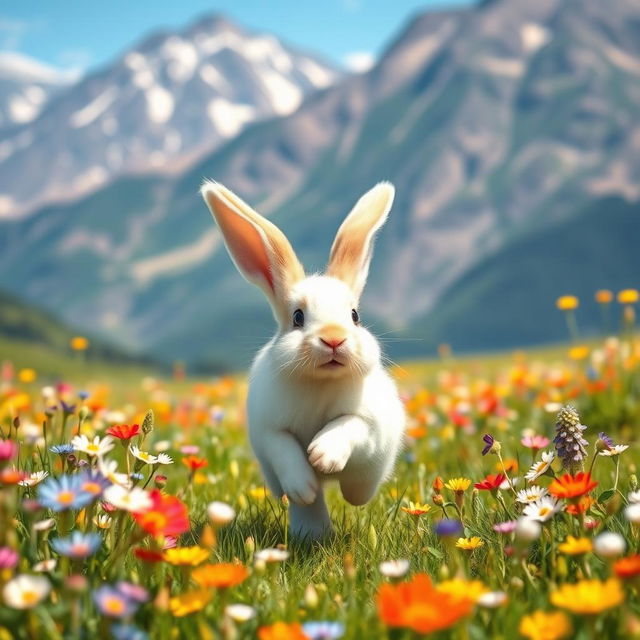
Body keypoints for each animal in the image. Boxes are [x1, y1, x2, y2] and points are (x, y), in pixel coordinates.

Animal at [201, 180, 404, 540]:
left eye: (355, 315)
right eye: (297, 317)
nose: (334, 338)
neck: (321, 382)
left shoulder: (369, 424)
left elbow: (347, 425)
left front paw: (323, 456)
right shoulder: (270, 430)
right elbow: (285, 451)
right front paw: (303, 484)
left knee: (358, 492)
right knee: (312, 503)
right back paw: (312, 532)